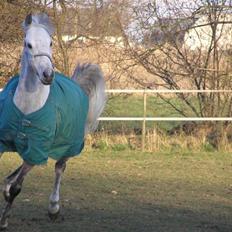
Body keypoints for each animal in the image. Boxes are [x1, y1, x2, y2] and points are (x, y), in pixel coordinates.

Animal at [0, 12, 106, 228]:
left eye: (50, 42)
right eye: (28, 44)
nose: (48, 75)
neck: (26, 109)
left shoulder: (37, 148)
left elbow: (17, 188)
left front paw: (4, 220)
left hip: (68, 144)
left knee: (59, 168)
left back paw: (53, 208)